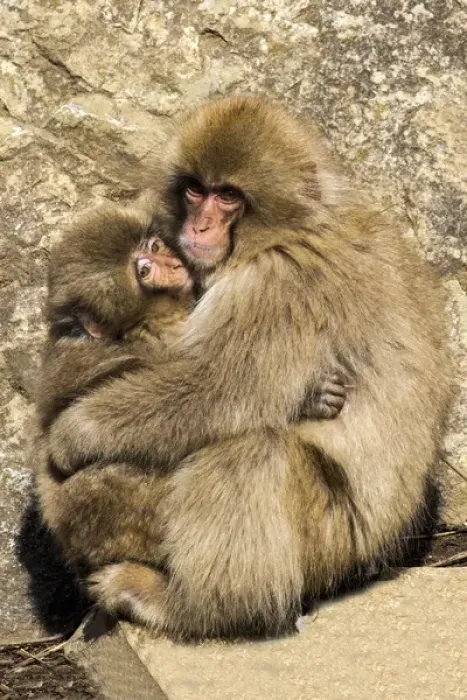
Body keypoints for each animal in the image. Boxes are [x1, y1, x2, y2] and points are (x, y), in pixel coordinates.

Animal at [39, 96, 451, 641]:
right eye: (196, 190)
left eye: (229, 196)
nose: (198, 228)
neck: (294, 226)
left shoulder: (276, 282)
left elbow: (214, 390)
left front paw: (71, 434)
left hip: (334, 542)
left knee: (251, 453)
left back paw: (191, 607)